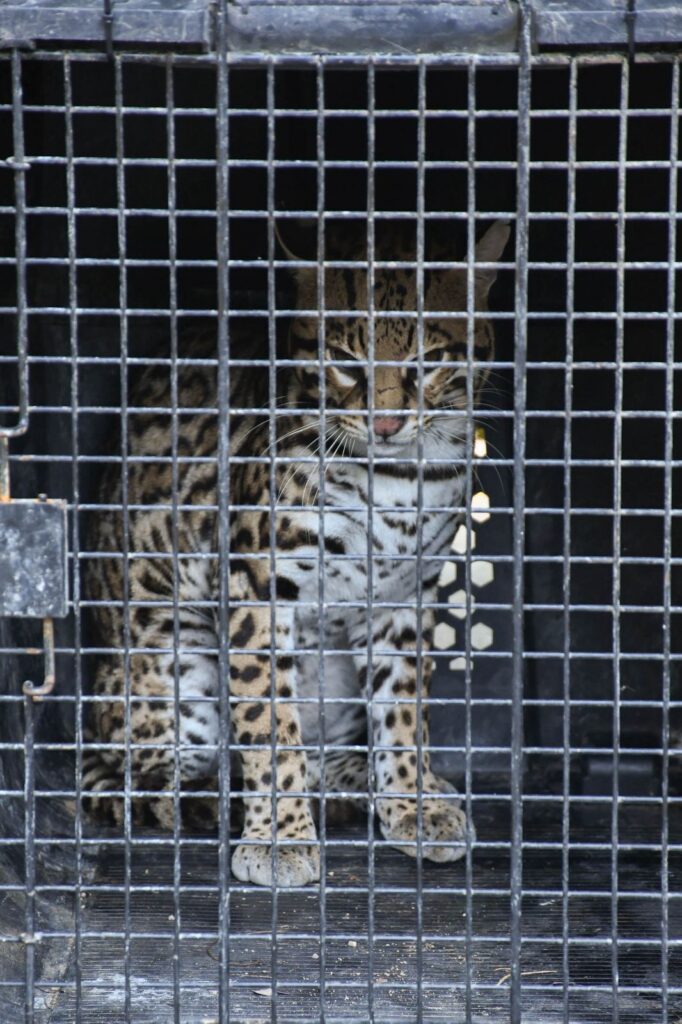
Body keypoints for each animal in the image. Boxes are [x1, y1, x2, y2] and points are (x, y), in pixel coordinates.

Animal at [82, 219, 510, 888]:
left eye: (430, 362)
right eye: (344, 362)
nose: (386, 424)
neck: (400, 476)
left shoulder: (404, 597)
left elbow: (403, 710)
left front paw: (413, 801)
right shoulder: (256, 586)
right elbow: (268, 723)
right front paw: (280, 838)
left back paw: (360, 782)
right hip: (173, 669)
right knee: (162, 775)